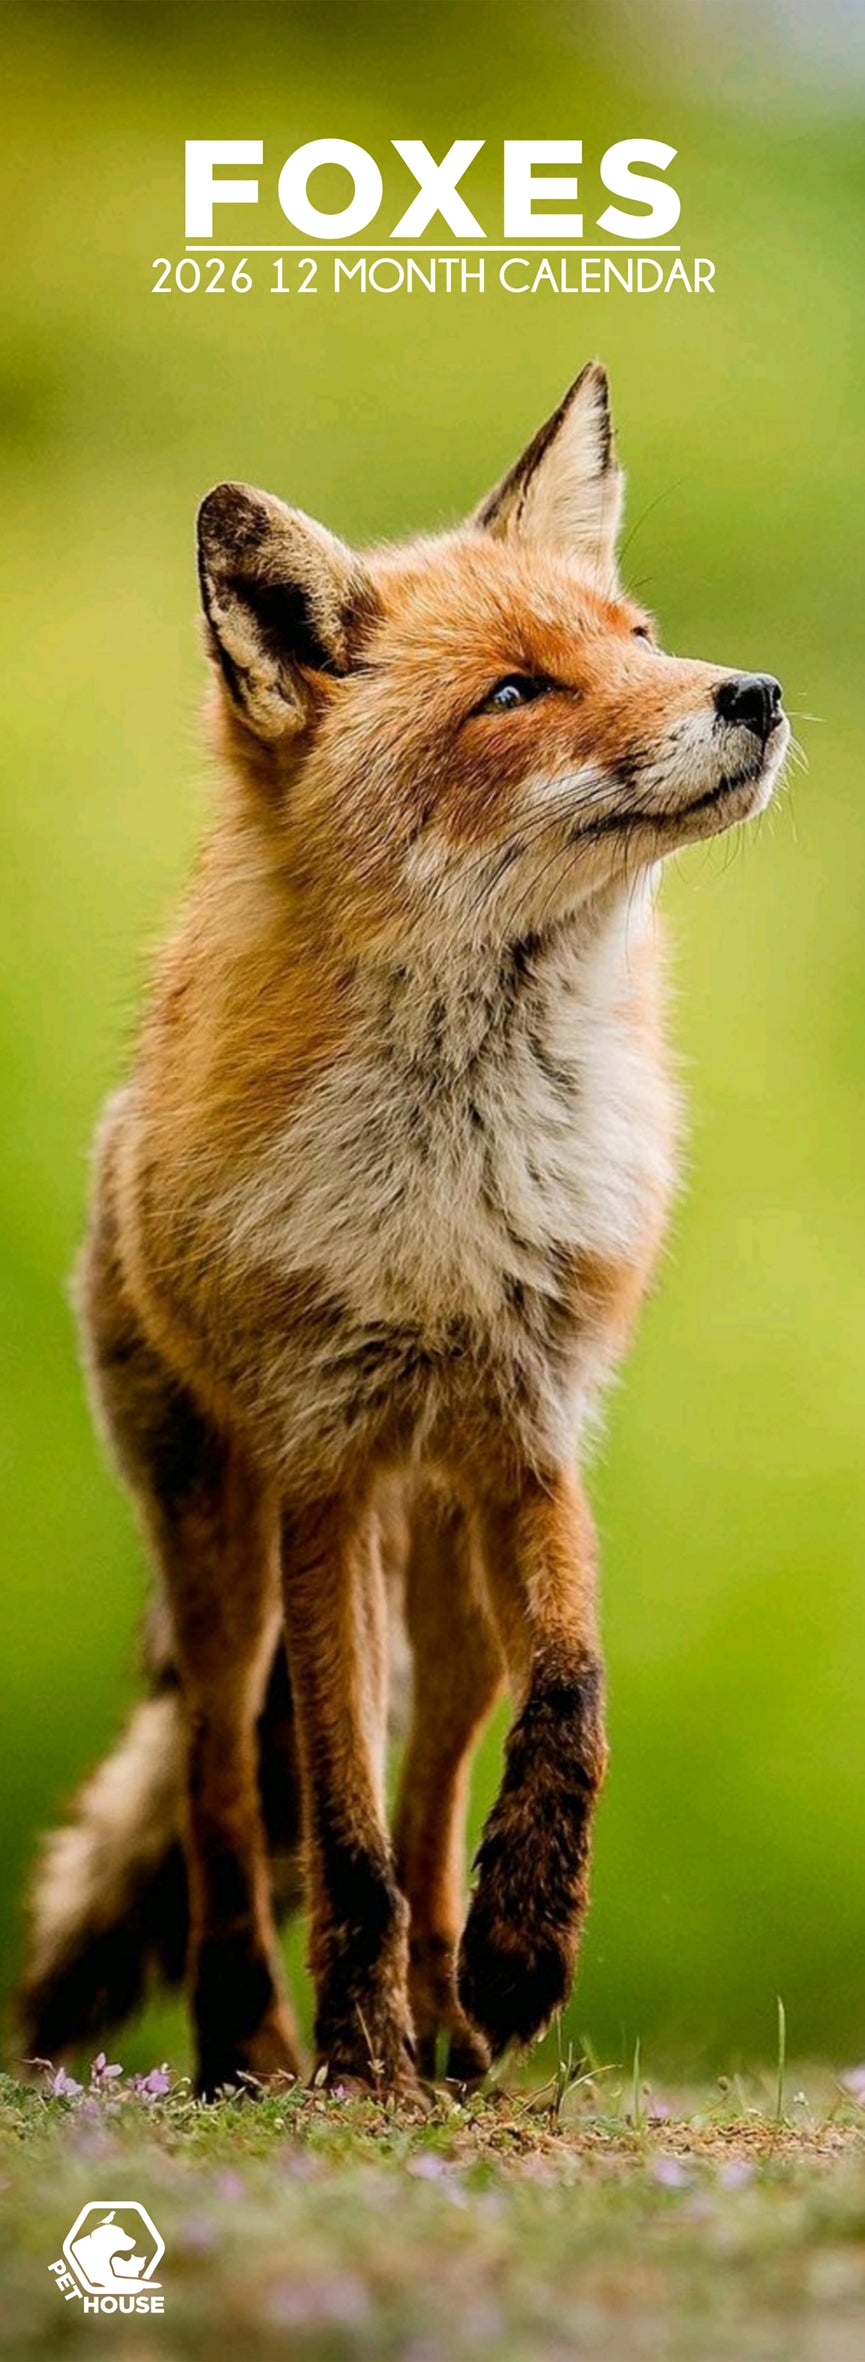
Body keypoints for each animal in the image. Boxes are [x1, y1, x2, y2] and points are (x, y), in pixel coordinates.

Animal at [17, 363, 789, 2098]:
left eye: (637, 637)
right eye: (513, 692)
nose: (758, 694)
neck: (457, 1190)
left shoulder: (532, 1433)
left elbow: (571, 1704)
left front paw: (521, 1950)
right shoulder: (324, 1461)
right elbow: (335, 1824)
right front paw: (351, 2048)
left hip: (445, 1577)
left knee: (439, 1780)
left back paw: (454, 2011)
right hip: (222, 1545)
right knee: (226, 1789)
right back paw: (256, 2039)